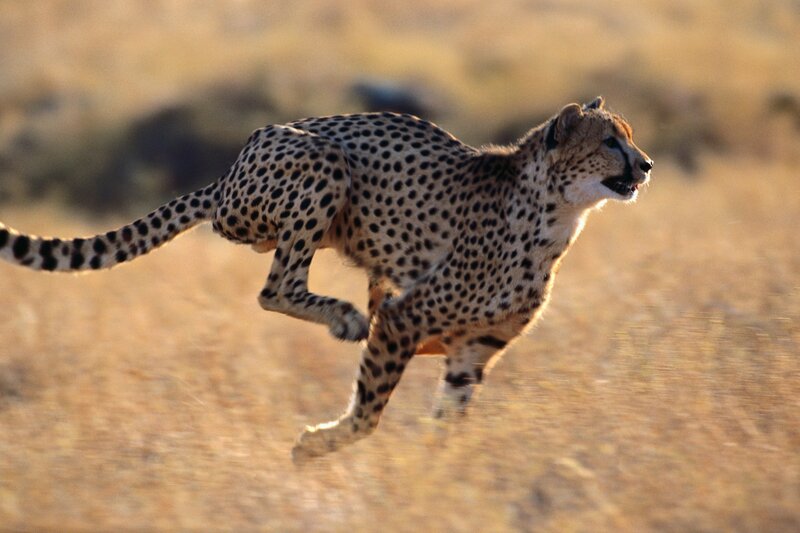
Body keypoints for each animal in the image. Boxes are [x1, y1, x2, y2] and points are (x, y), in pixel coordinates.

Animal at [0, 96, 652, 463]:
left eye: (629, 135)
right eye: (610, 140)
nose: (645, 164)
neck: (556, 214)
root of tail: (229, 171)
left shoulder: (475, 348)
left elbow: (448, 420)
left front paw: (438, 469)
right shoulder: (406, 317)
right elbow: (369, 411)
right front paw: (316, 445)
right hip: (319, 164)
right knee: (275, 287)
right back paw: (342, 316)